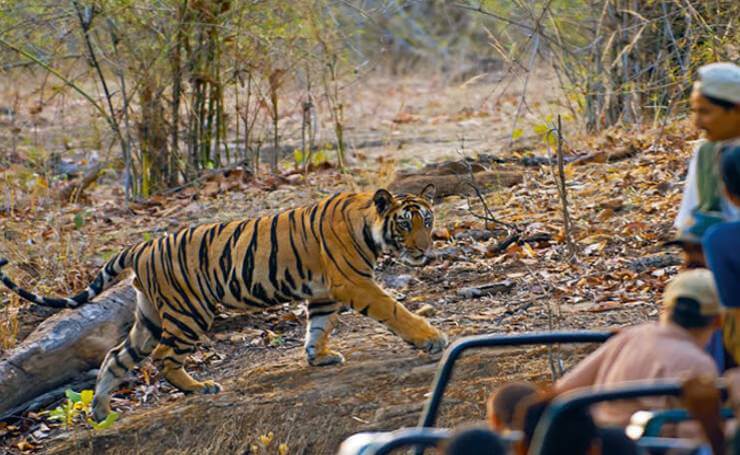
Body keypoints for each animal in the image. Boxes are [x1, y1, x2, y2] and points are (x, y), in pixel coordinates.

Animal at [0, 184, 446, 420]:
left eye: (428, 220)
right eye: (406, 224)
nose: (426, 250)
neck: (369, 226)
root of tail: (142, 247)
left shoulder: (321, 293)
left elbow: (318, 327)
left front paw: (318, 357)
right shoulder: (355, 284)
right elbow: (395, 310)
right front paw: (432, 339)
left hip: (149, 317)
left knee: (116, 356)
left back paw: (101, 413)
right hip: (188, 312)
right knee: (163, 357)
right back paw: (199, 388)